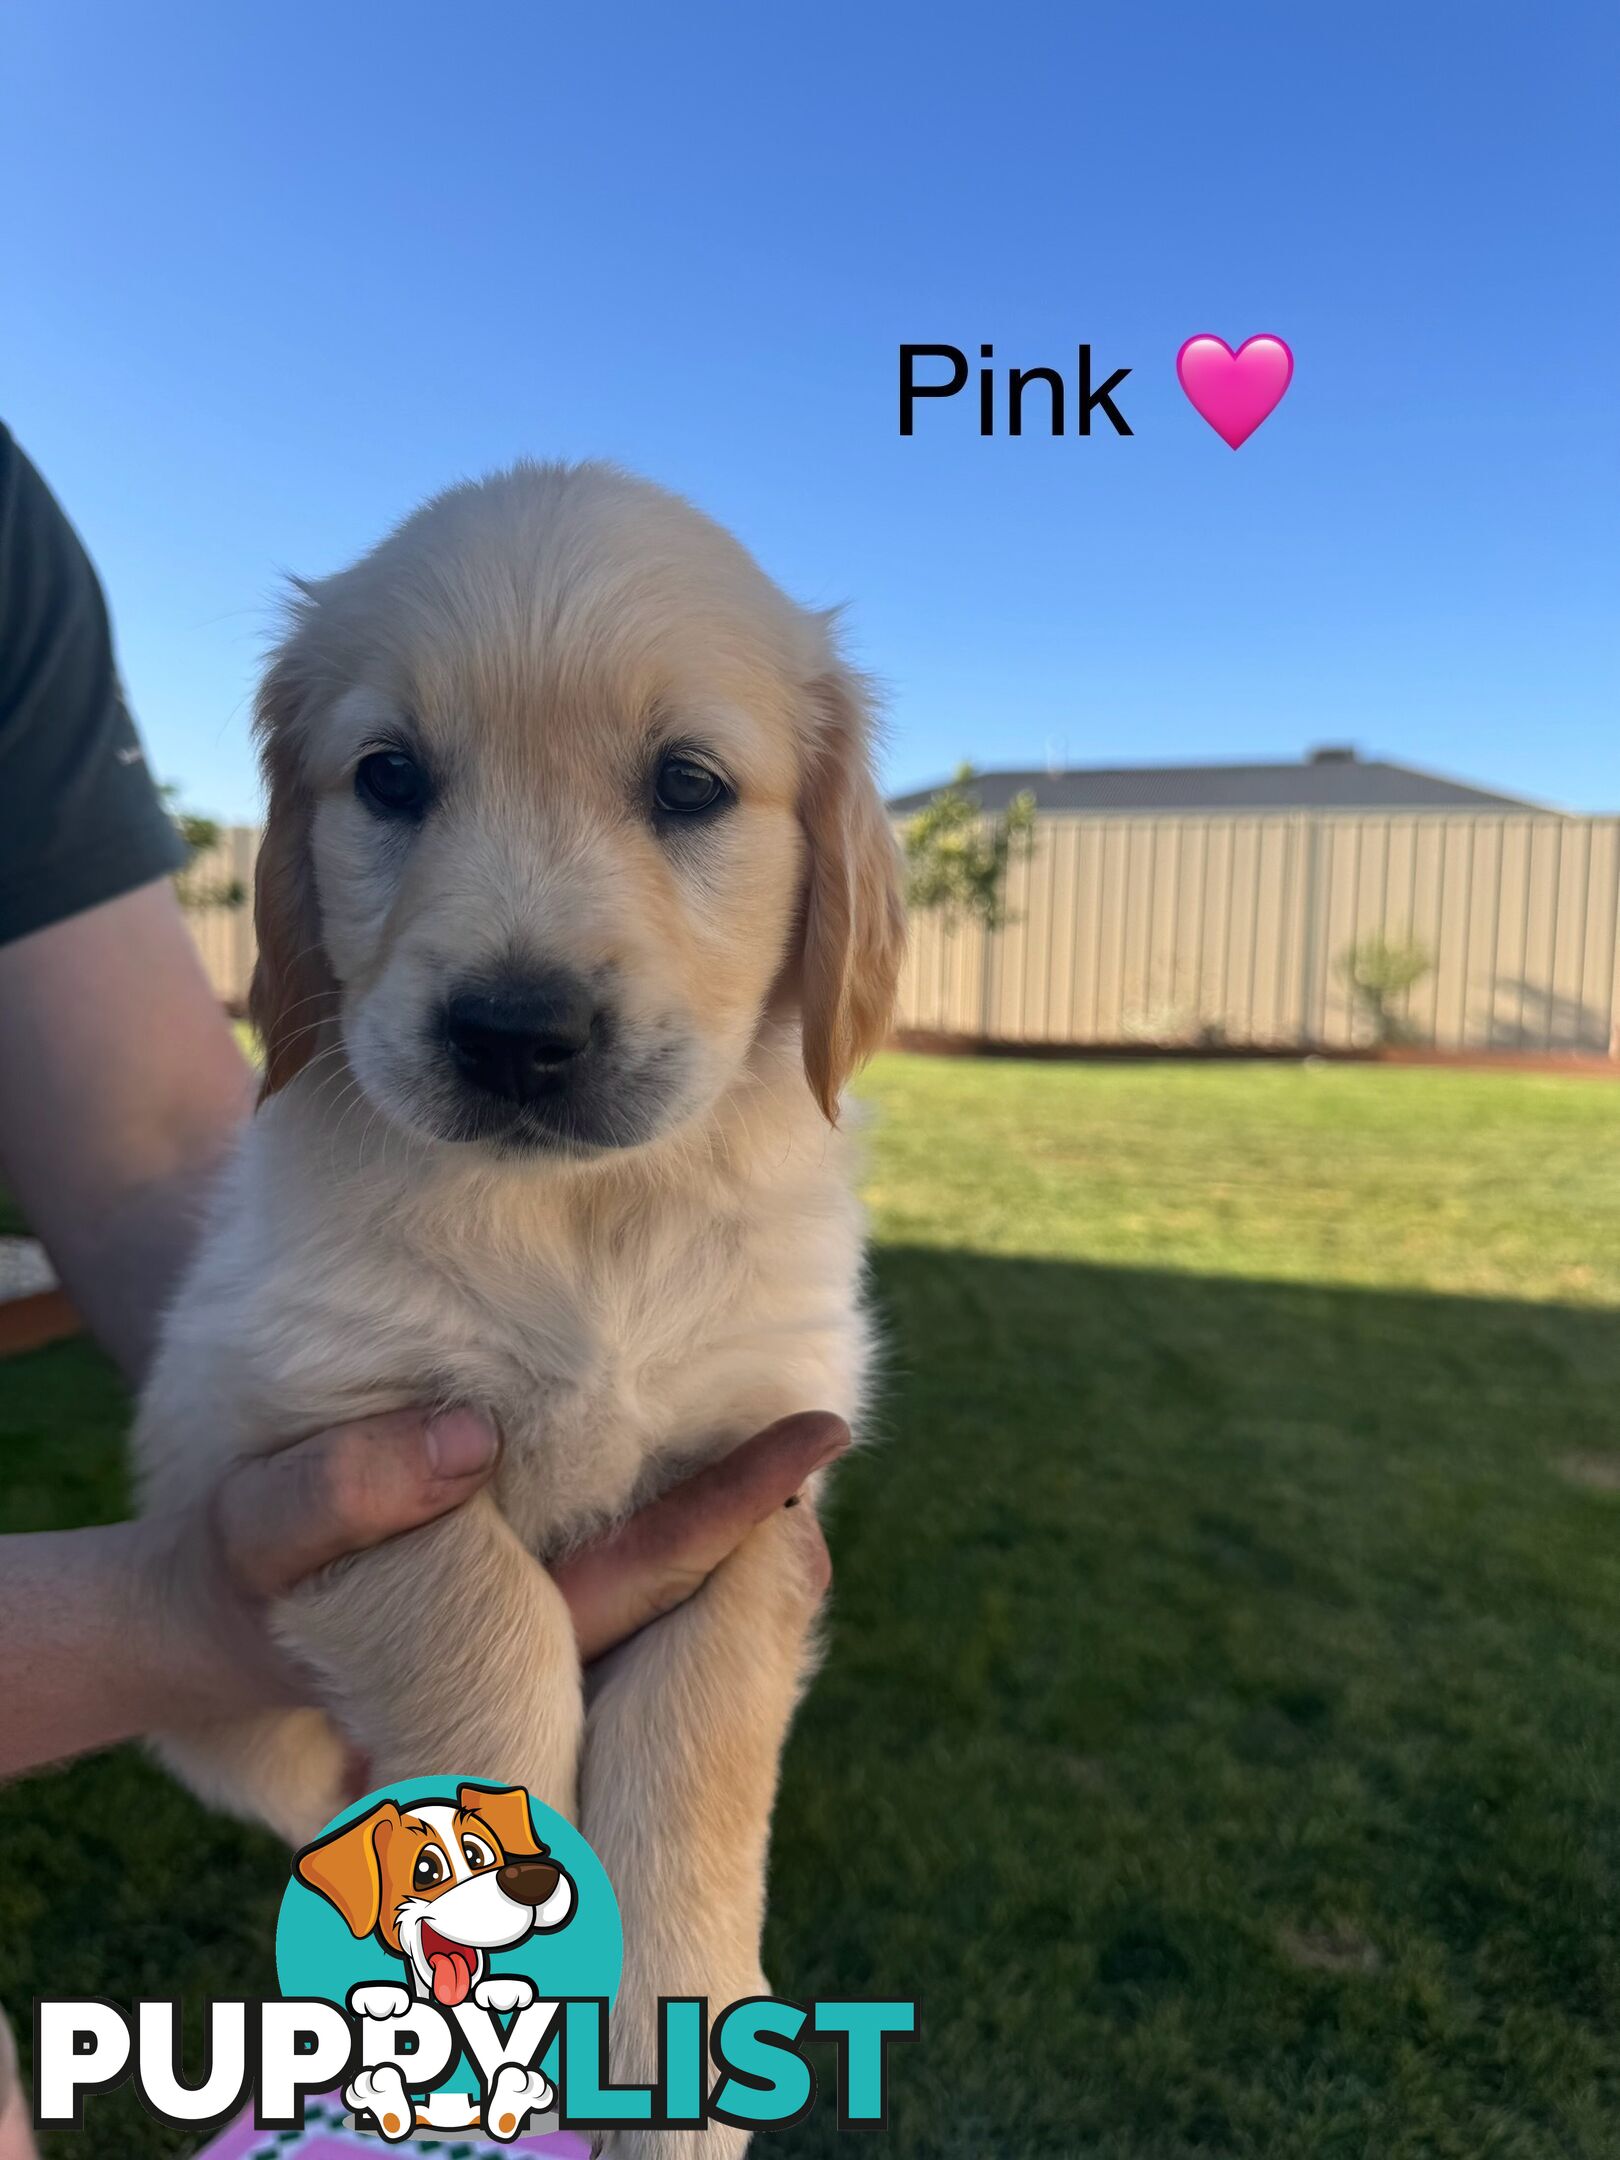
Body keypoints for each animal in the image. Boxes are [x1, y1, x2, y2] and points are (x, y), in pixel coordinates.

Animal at [133, 464, 907, 2151]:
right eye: (389, 777)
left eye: (689, 785)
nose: (515, 1033)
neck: (580, 1222)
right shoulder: (313, 1431)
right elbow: (491, 1631)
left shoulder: (760, 1471)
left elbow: (701, 1728)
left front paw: (678, 2039)